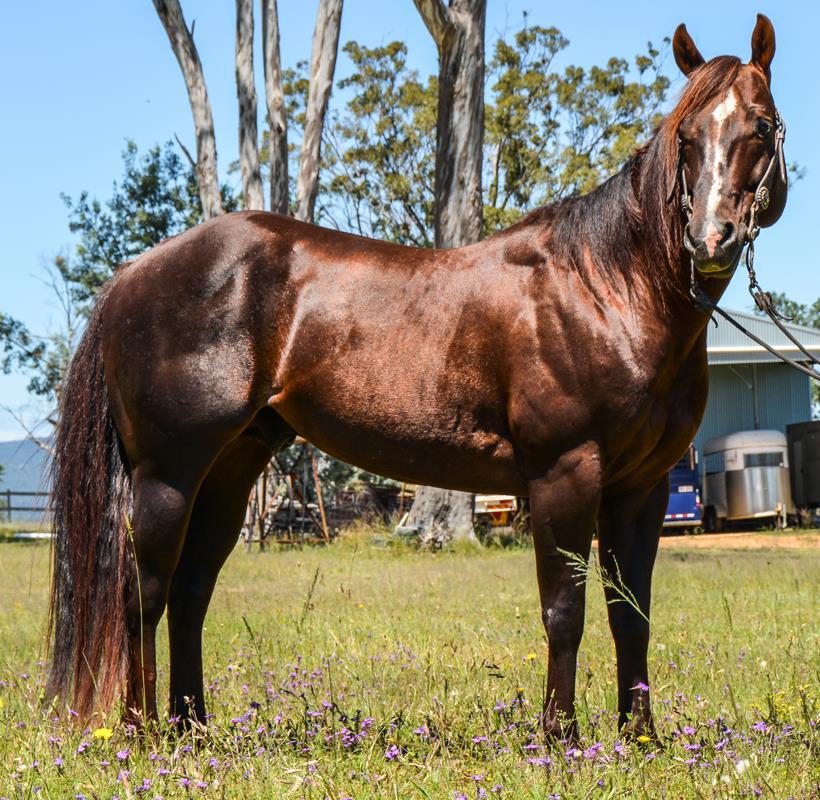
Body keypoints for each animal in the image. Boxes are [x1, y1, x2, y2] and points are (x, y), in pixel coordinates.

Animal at [46, 15, 787, 739]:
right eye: (686, 135)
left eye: (759, 125)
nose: (709, 239)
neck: (605, 288)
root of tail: (133, 274)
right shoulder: (565, 474)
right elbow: (564, 612)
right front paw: (560, 741)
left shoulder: (643, 488)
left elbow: (629, 613)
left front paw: (642, 741)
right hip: (167, 474)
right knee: (144, 592)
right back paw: (144, 736)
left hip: (231, 468)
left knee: (190, 590)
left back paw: (193, 731)